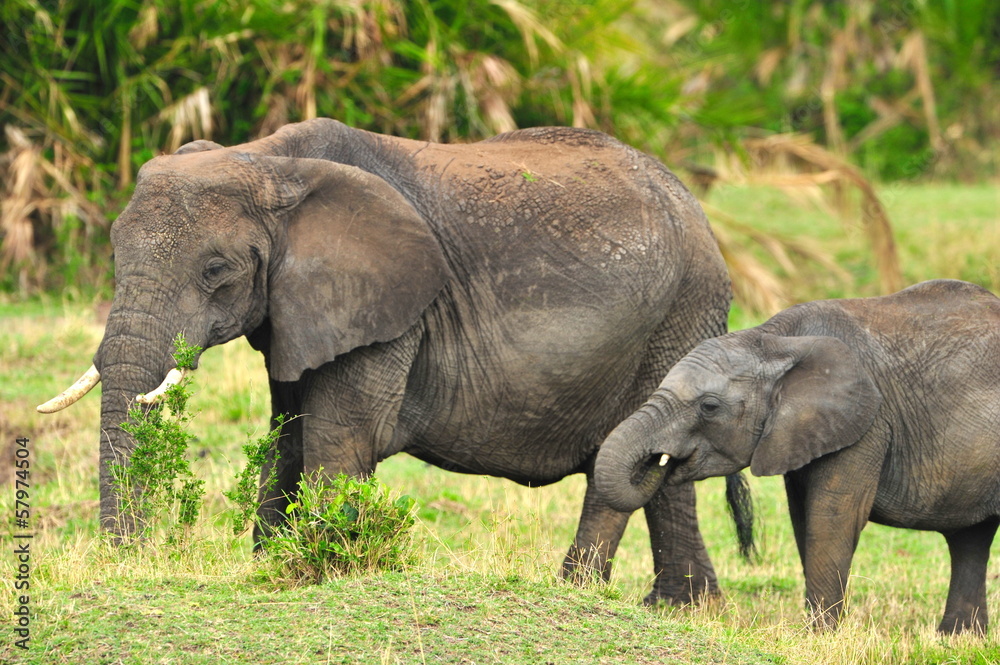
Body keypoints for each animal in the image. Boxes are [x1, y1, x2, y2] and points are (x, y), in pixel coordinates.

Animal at [37, 118, 750, 604]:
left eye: (215, 270)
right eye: (113, 248)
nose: (129, 558)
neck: (270, 161)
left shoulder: (392, 309)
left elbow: (341, 435)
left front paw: (318, 571)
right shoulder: (301, 309)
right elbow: (289, 433)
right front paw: (273, 568)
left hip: (682, 315)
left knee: (644, 462)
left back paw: (608, 601)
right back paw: (679, 608)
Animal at [594, 279, 1000, 633]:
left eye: (709, 407)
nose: (658, 460)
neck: (776, 339)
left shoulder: (867, 423)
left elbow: (833, 516)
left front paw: (819, 636)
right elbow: (803, 517)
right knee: (971, 540)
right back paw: (959, 638)